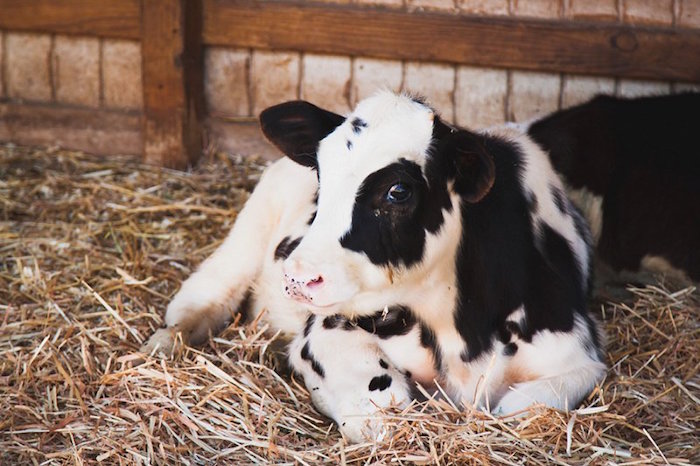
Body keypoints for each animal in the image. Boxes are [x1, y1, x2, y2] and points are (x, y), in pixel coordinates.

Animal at [144, 92, 608, 444]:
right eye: (320, 174)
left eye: (398, 191)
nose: (298, 277)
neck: (461, 332)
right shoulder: (324, 330)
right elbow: (383, 408)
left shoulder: (579, 358)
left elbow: (522, 406)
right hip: (247, 235)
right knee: (205, 296)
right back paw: (165, 343)